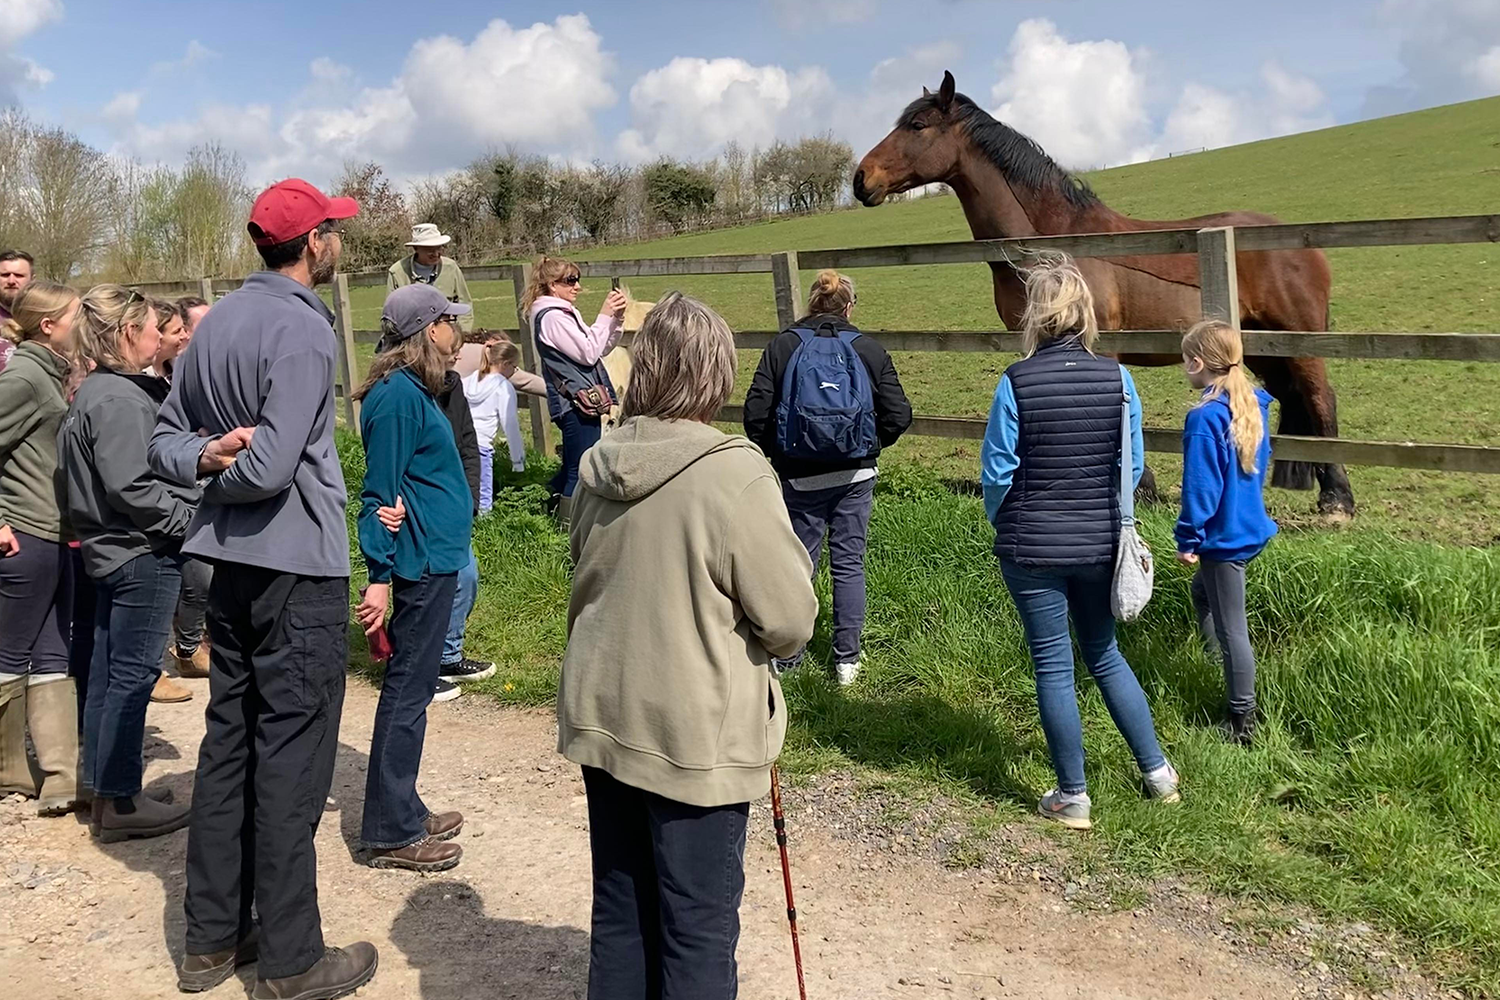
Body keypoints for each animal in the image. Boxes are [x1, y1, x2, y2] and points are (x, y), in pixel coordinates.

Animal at [852, 70, 1356, 515]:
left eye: (917, 126)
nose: (861, 179)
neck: (1056, 243)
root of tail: (1302, 242)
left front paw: (1137, 487)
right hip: (1266, 347)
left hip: (1299, 341)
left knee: (1320, 400)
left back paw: (1337, 500)